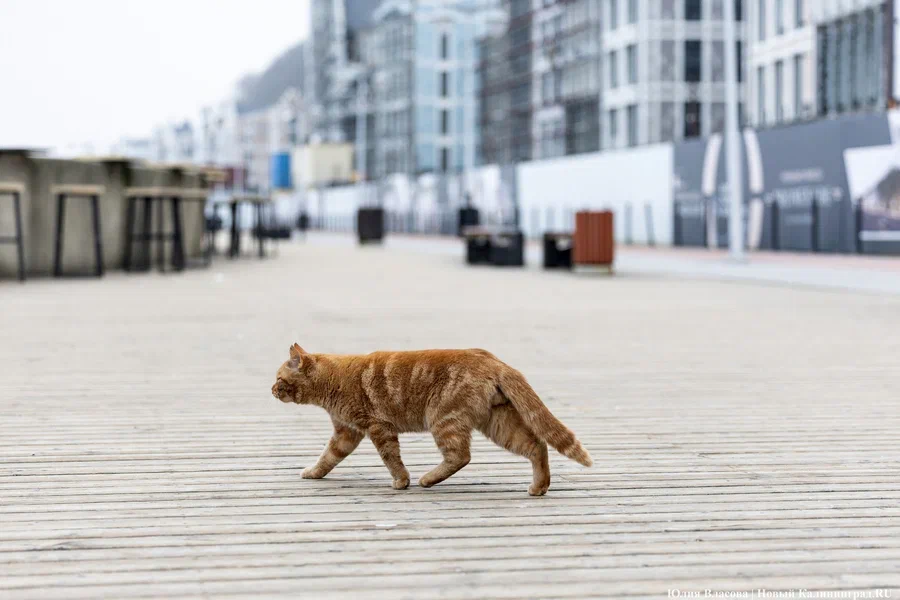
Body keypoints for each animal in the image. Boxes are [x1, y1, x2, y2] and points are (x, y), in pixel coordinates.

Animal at [270, 344, 596, 494]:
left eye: (278, 378)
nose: (271, 389)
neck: (334, 379)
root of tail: (492, 359)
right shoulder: (346, 433)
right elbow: (328, 458)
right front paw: (313, 472)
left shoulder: (378, 428)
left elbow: (392, 459)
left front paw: (401, 481)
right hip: (499, 424)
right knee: (537, 446)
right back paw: (539, 487)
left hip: (444, 420)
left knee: (461, 456)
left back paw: (427, 479)